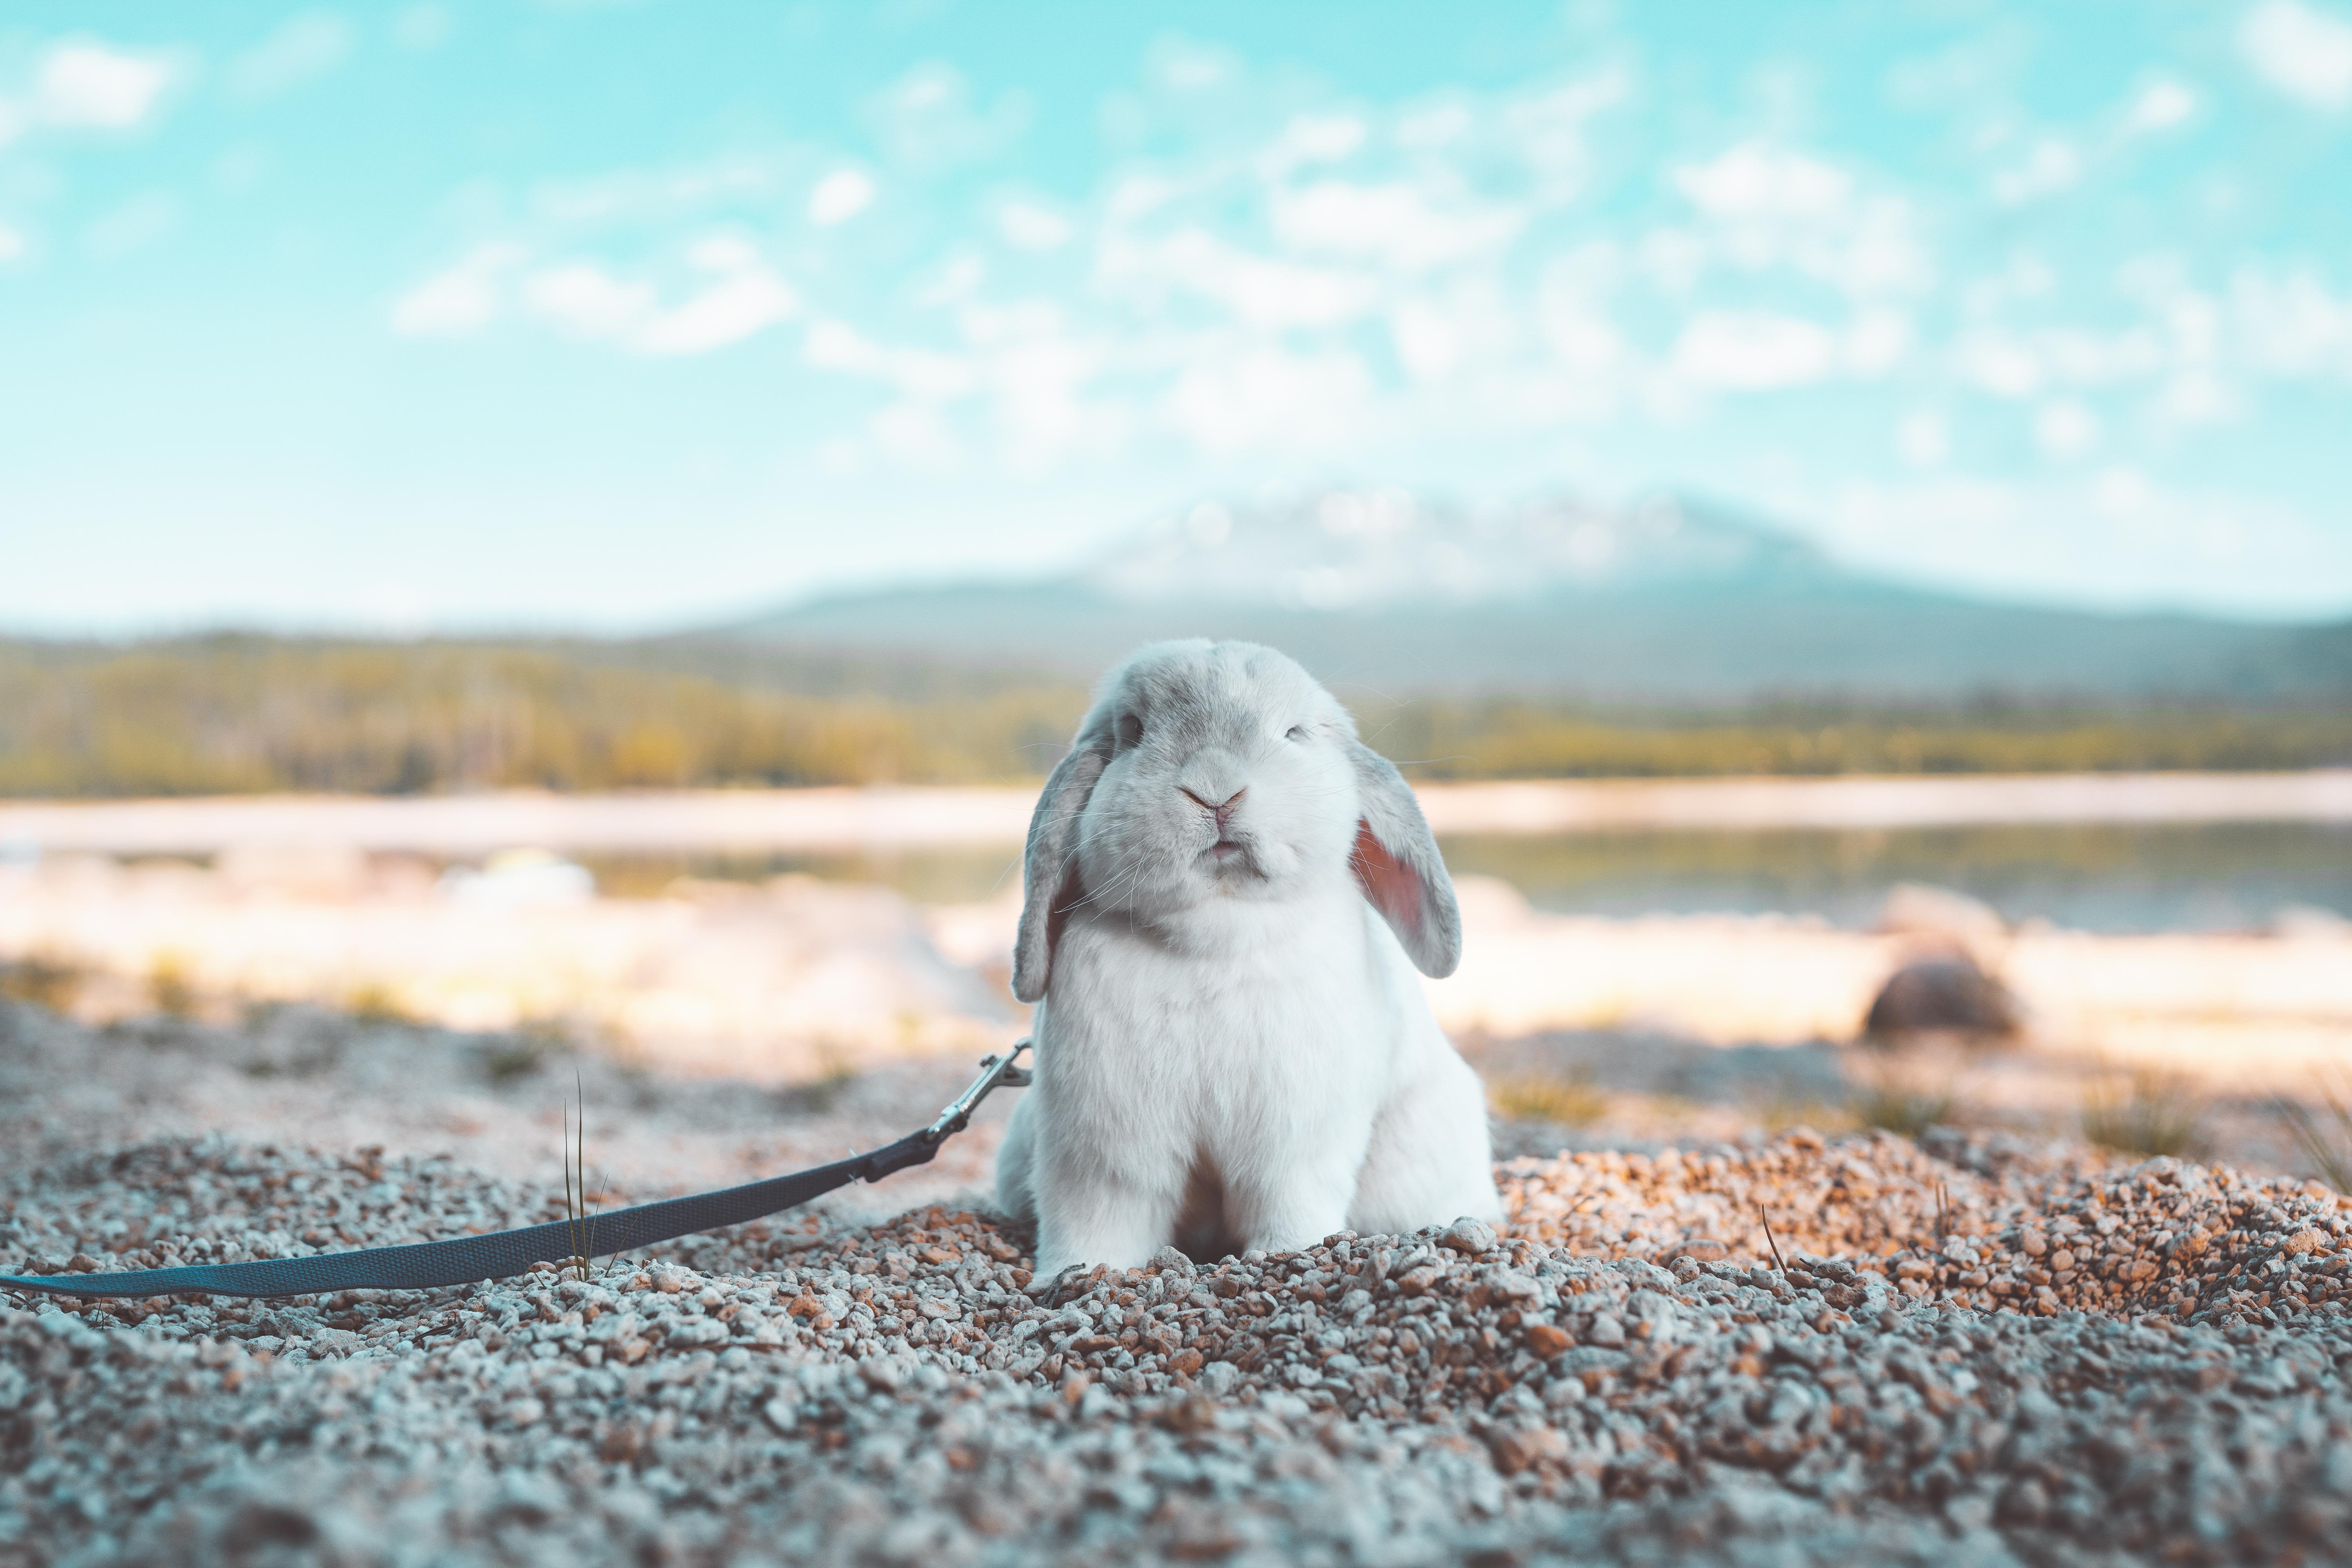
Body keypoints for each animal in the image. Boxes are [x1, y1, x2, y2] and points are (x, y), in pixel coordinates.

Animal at [994, 638, 1501, 1277]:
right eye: (1133, 730)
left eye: (1293, 733)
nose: (1217, 790)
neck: (1215, 935)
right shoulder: (1104, 1152)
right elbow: (1097, 1218)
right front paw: (1076, 1273)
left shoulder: (1293, 1144)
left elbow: (1287, 1202)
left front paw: (1290, 1254)